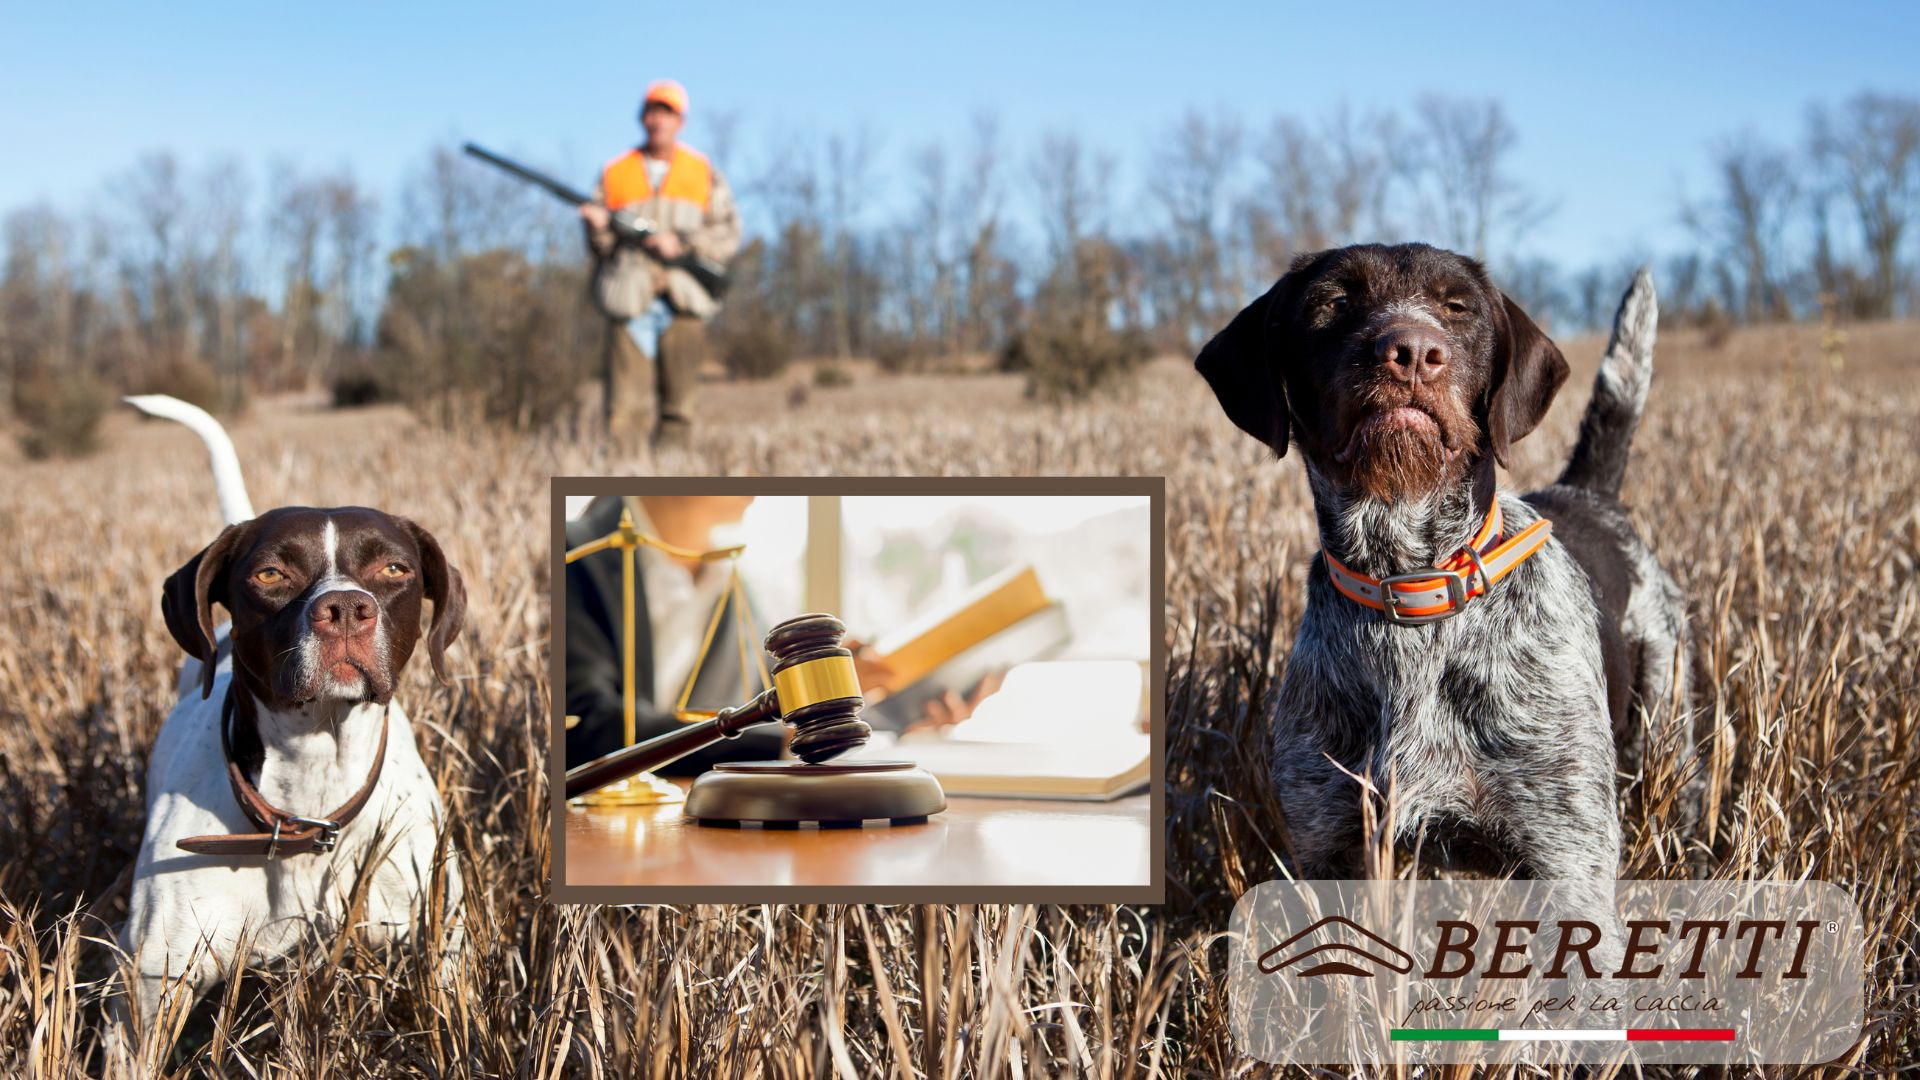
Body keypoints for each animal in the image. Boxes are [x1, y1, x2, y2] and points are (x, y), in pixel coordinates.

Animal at [115, 393, 468, 1053]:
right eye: (270, 575)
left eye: (394, 569)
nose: (346, 608)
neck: (312, 798)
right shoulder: (149, 990)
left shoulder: (438, 948)